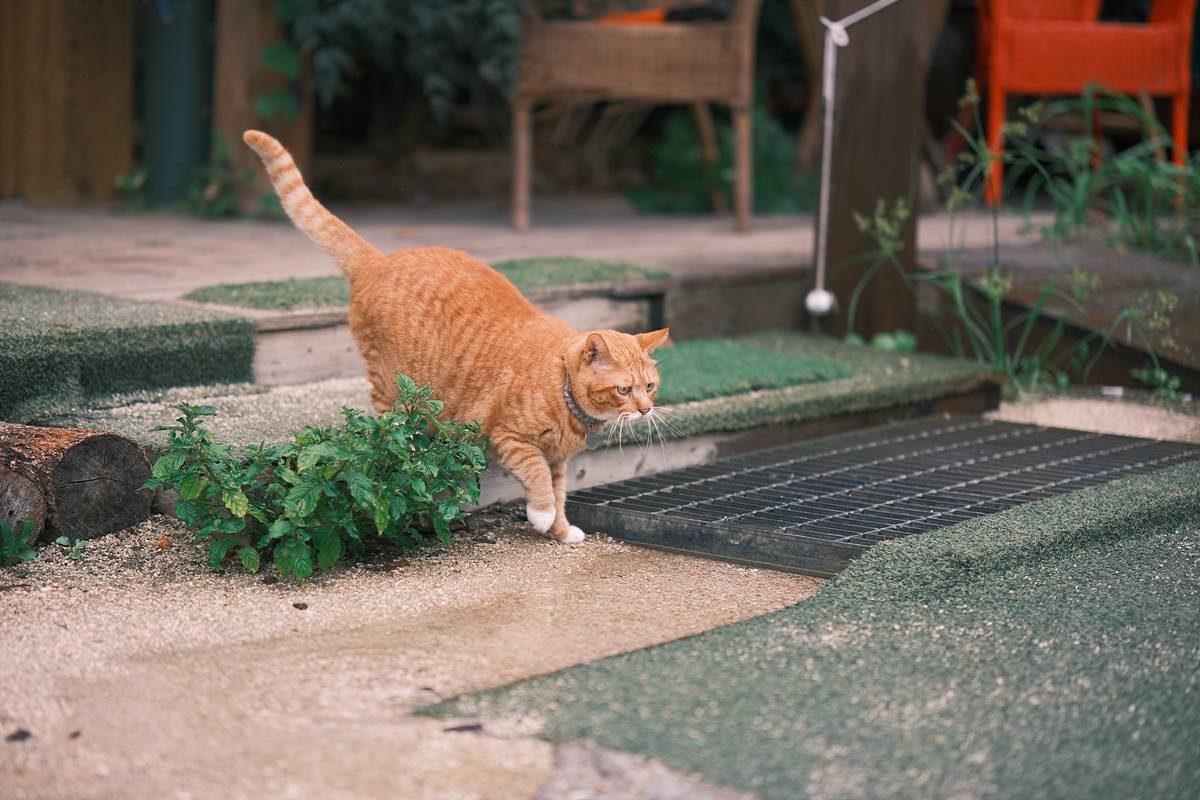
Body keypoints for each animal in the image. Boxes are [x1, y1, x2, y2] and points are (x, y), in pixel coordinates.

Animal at [244, 131, 672, 544]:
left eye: (650, 386)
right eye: (623, 389)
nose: (646, 410)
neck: (561, 384)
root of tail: (380, 260)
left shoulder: (558, 459)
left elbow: (560, 491)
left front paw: (562, 530)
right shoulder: (511, 438)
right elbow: (537, 477)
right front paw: (542, 515)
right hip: (390, 382)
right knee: (389, 423)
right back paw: (408, 442)